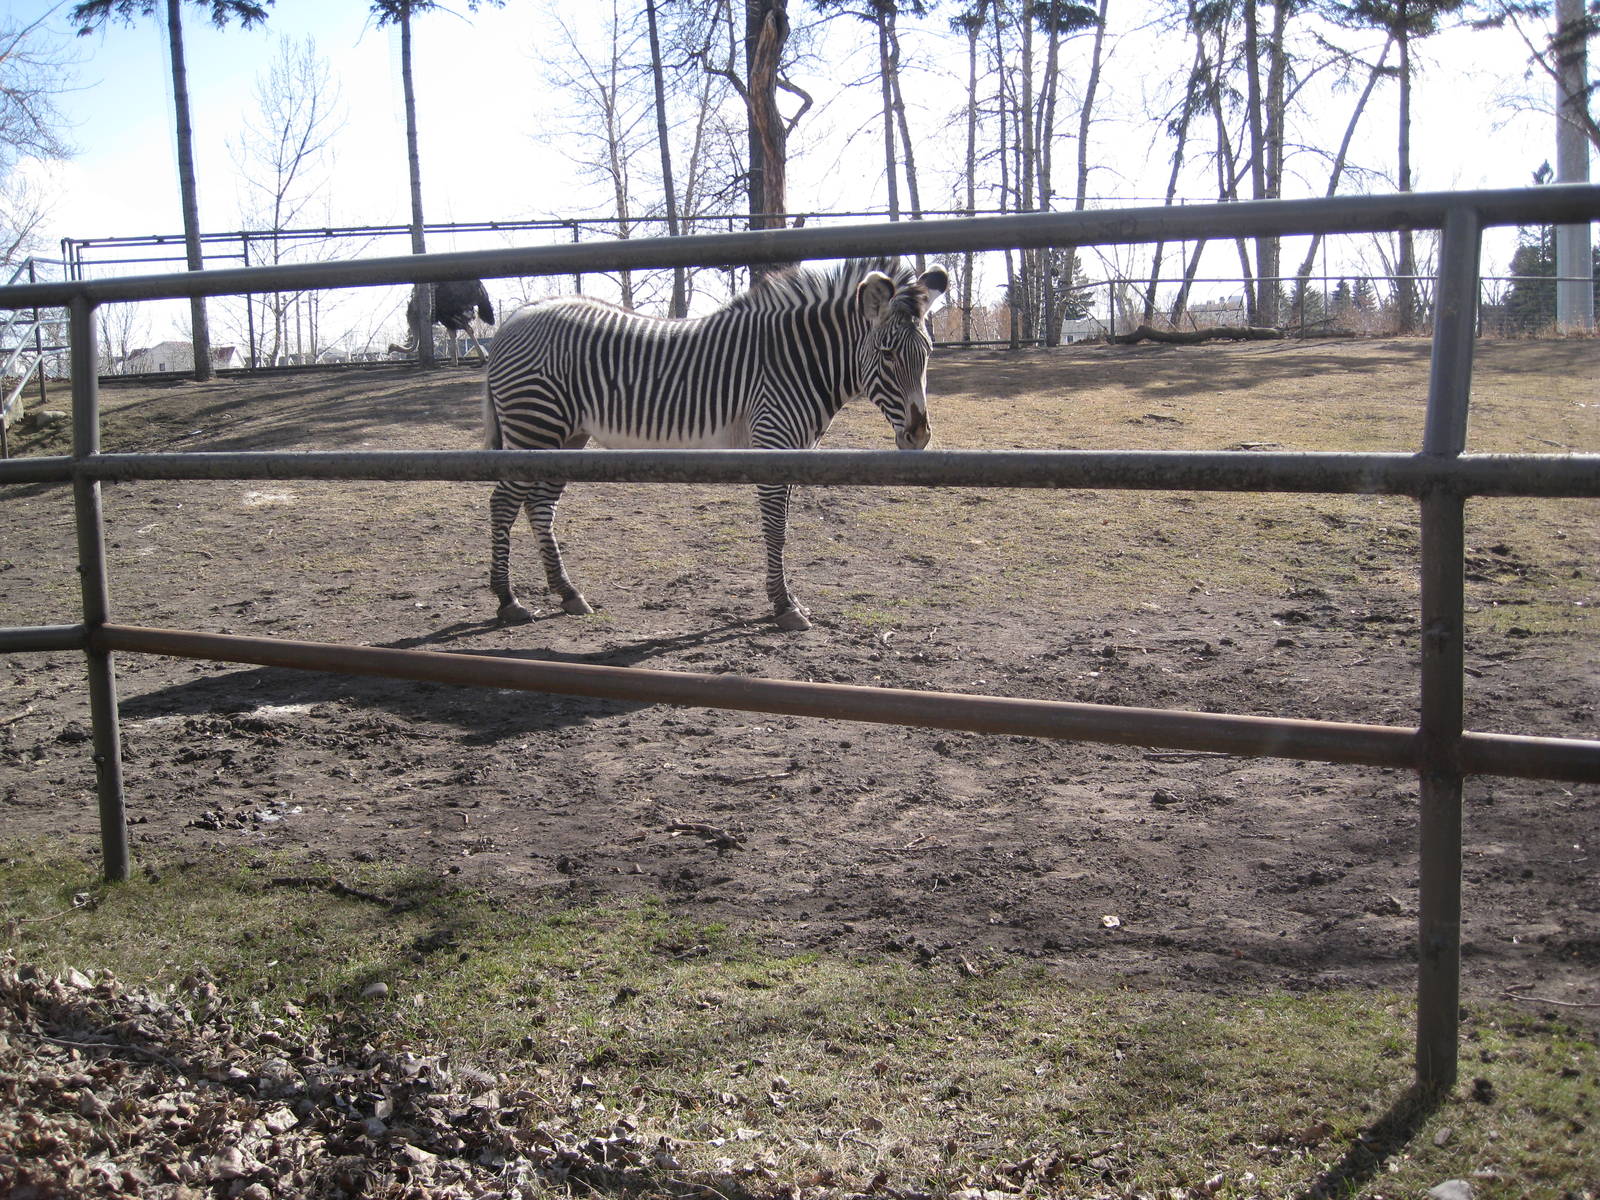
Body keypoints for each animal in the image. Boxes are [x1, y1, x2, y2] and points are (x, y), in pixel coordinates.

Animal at [482, 258, 948, 632]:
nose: (919, 435)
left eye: (927, 352)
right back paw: (508, 600)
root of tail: (517, 316)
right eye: (887, 354)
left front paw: (786, 599)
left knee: (540, 506)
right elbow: (776, 529)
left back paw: (568, 593)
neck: (799, 361)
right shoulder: (772, 443)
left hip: (566, 436)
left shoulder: (794, 451)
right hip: (535, 425)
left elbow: (783, 528)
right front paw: (783, 606)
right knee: (503, 503)